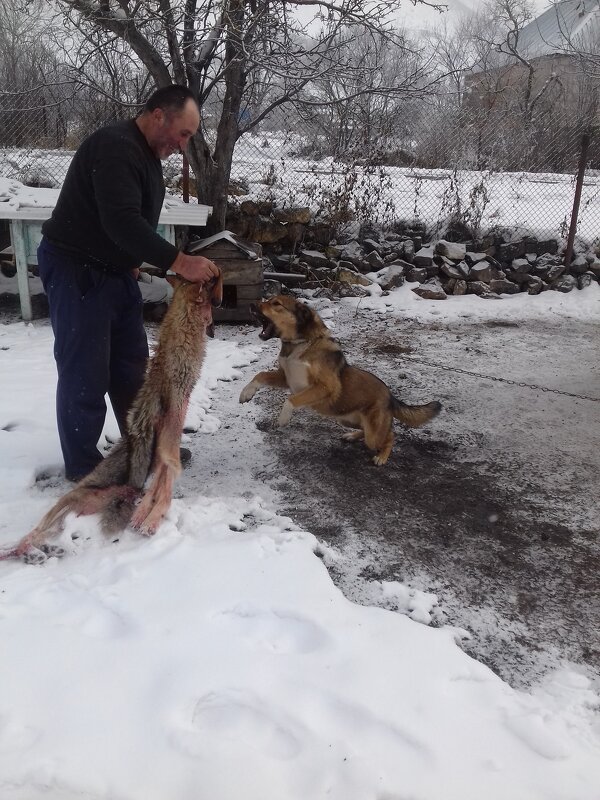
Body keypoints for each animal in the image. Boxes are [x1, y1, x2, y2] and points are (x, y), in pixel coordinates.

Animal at [0, 274, 223, 564]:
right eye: (208, 285)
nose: (216, 277)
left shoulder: (165, 446)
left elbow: (160, 486)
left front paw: (146, 516)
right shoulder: (170, 437)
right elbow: (166, 483)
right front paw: (149, 520)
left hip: (76, 514)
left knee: (50, 536)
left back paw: (43, 552)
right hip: (64, 509)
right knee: (32, 536)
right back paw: (27, 552)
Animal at [239, 296, 440, 466]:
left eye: (276, 303)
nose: (250, 304)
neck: (300, 344)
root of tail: (391, 396)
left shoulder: (326, 387)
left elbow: (290, 400)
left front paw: (283, 418)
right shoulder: (285, 377)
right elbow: (260, 375)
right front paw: (246, 393)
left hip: (374, 434)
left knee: (390, 435)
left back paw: (381, 457)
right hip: (347, 419)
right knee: (367, 430)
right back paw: (351, 436)